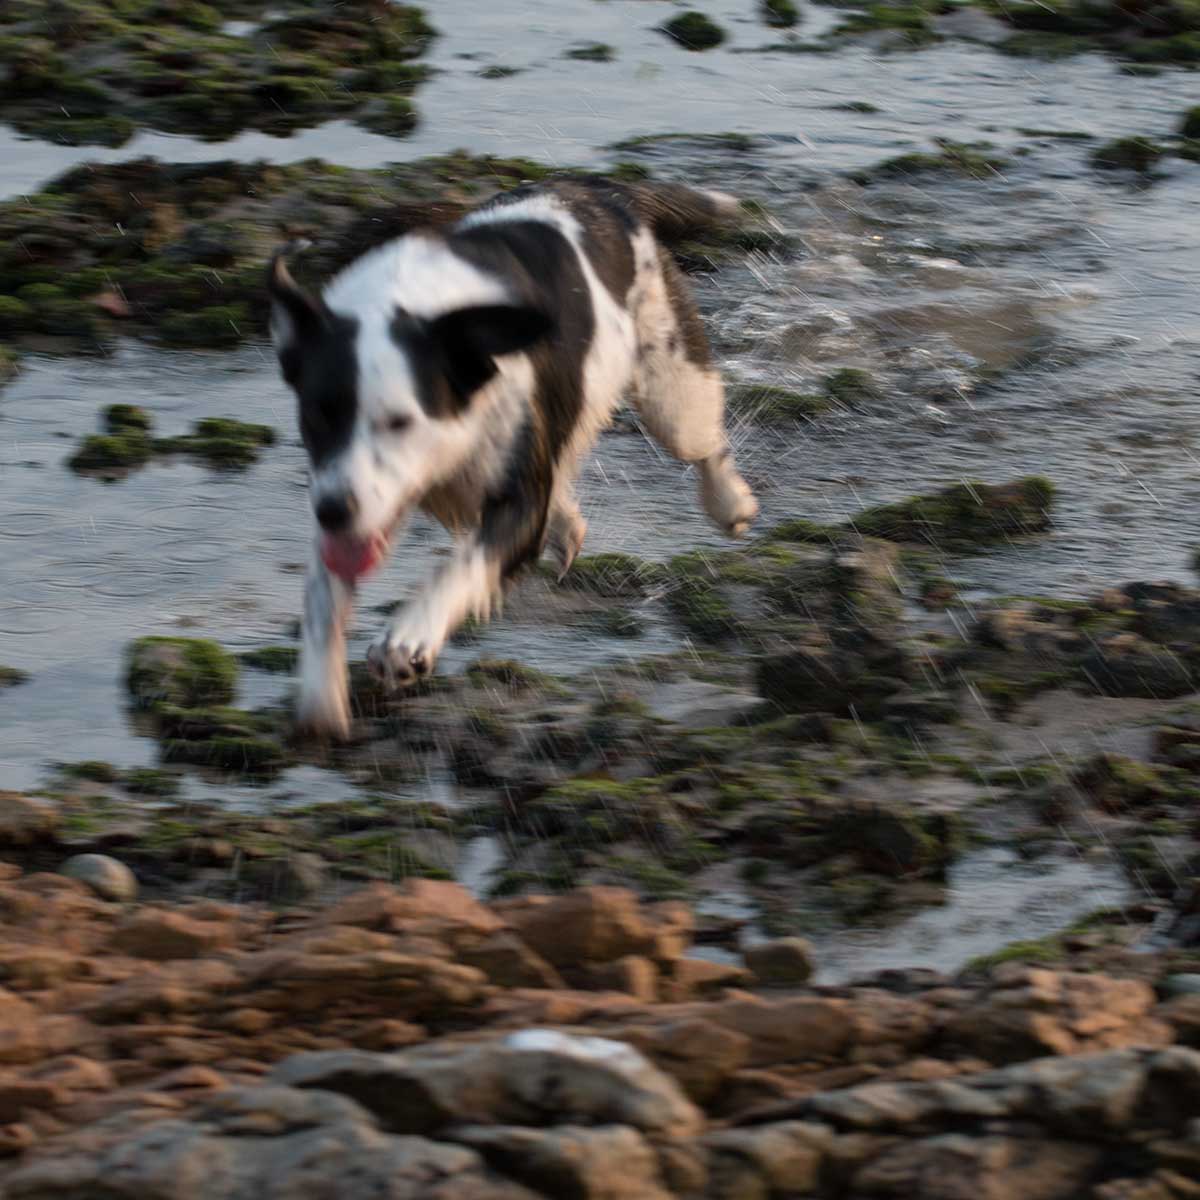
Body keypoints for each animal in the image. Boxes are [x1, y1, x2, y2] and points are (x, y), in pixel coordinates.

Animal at [270, 175, 758, 739]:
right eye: (317, 417)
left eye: (400, 422)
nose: (332, 510)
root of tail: (607, 193)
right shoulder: (349, 499)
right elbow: (323, 596)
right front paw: (321, 701)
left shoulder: (517, 500)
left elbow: (465, 564)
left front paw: (406, 641)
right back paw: (568, 527)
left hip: (672, 394)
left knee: (702, 442)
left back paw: (730, 503)